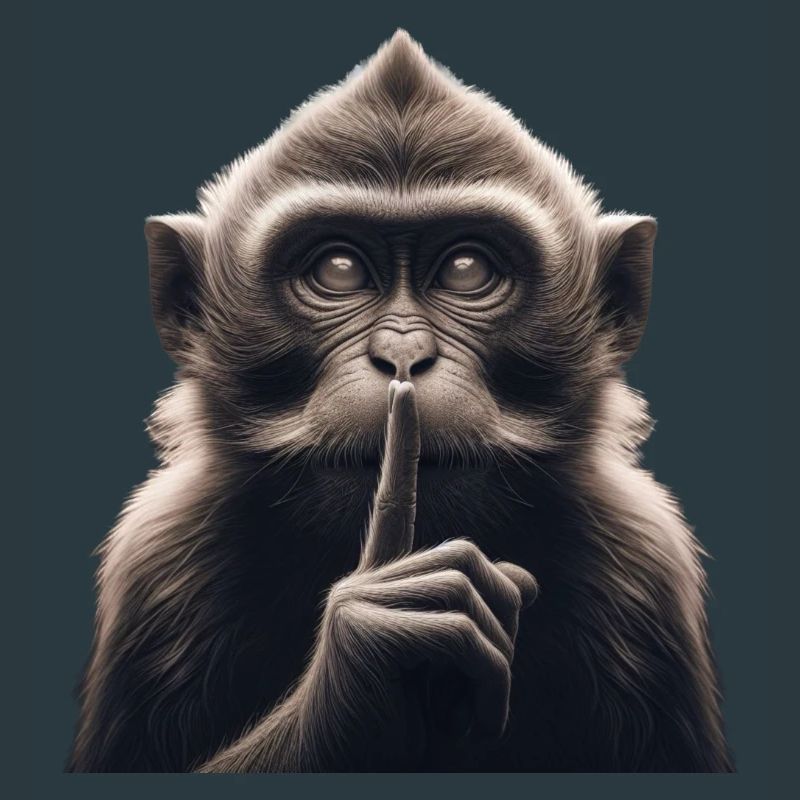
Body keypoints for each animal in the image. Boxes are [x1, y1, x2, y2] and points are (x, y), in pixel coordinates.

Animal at [67, 30, 733, 772]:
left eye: (467, 269)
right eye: (338, 269)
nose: (403, 354)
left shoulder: (646, 567)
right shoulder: (157, 564)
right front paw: (371, 653)